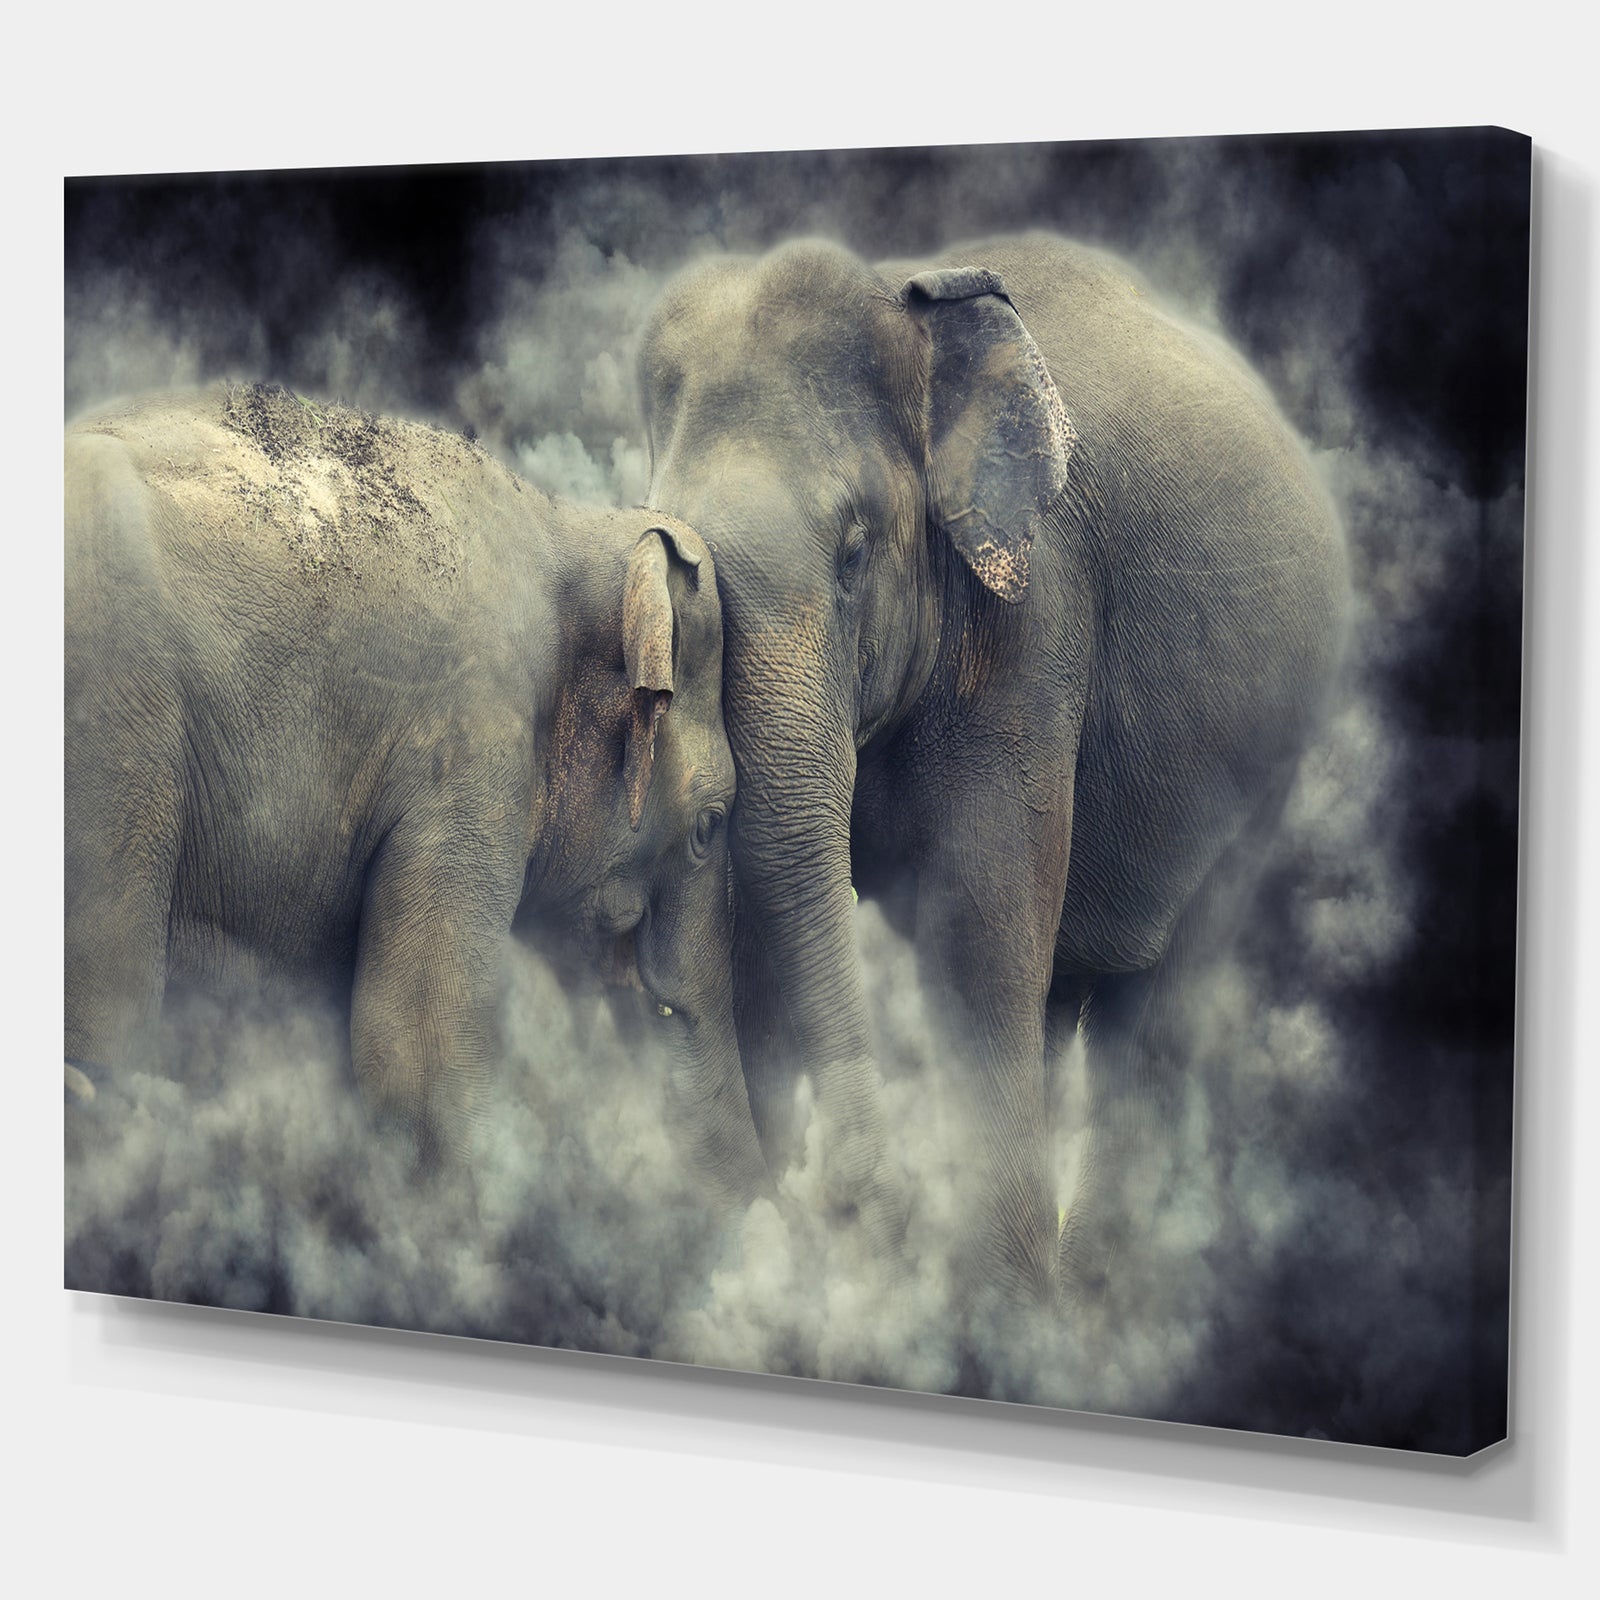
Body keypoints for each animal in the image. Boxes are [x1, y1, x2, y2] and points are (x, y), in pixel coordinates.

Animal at [637, 233, 1348, 1309]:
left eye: (853, 551)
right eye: (674, 557)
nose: (847, 1200)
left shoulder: (1031, 613)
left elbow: (978, 921)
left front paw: (993, 1316)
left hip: (1270, 760)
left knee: (1164, 996)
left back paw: (1092, 1306)